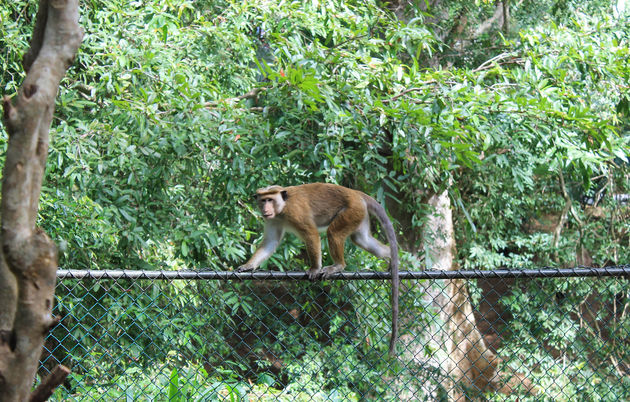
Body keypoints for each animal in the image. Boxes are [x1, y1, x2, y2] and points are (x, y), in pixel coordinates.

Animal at [239, 182, 402, 354]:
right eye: (263, 200)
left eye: (270, 199)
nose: (265, 208)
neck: (282, 208)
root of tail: (356, 193)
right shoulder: (273, 219)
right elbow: (270, 243)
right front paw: (249, 265)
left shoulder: (295, 212)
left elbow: (311, 233)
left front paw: (315, 268)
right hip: (360, 214)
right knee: (362, 239)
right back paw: (391, 256)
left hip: (352, 210)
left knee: (334, 232)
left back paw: (338, 265)